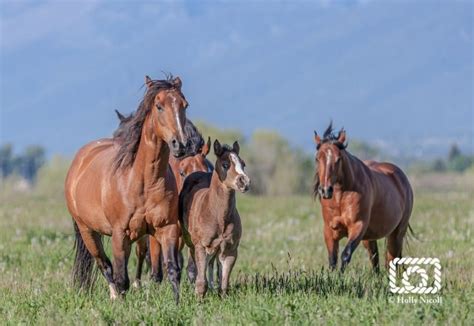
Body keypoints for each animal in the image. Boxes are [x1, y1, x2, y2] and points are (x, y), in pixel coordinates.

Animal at [66, 75, 189, 302]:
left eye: (184, 105)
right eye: (159, 106)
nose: (181, 144)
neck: (143, 182)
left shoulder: (166, 228)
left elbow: (173, 270)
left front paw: (178, 304)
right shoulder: (119, 234)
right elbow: (121, 277)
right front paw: (122, 304)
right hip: (88, 231)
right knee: (105, 265)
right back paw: (114, 297)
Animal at [179, 140, 252, 298]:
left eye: (243, 164)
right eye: (225, 164)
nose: (244, 182)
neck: (217, 214)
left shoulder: (230, 249)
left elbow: (224, 282)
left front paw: (222, 297)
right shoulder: (201, 246)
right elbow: (201, 280)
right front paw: (199, 298)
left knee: (213, 265)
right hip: (191, 242)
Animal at [312, 123, 412, 272]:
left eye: (338, 158)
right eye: (317, 158)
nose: (325, 190)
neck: (340, 199)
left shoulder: (357, 227)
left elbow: (346, 254)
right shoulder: (329, 231)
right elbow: (332, 259)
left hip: (397, 233)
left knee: (392, 259)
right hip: (370, 238)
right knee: (375, 258)